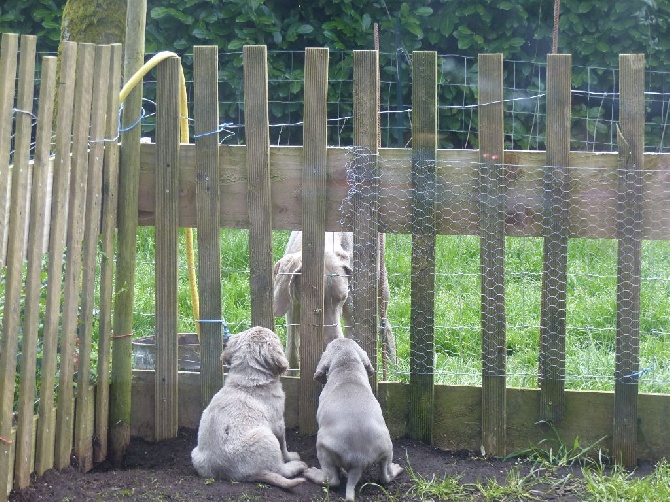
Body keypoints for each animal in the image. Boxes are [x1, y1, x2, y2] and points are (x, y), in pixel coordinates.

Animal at [190, 328, 308, 488]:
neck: (249, 379)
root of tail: (238, 475)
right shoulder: (278, 423)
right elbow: (283, 445)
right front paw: (290, 456)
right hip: (267, 438)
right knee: (280, 470)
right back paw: (297, 465)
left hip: (195, 455)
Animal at [304, 336, 404, 500]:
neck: (347, 367)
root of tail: (359, 462)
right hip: (388, 449)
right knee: (385, 475)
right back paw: (395, 469)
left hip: (323, 448)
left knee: (332, 479)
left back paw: (313, 473)